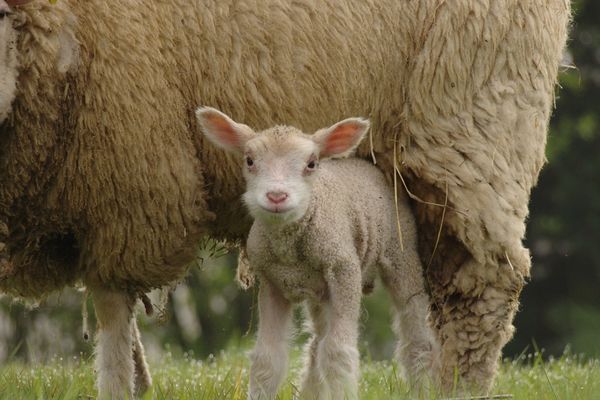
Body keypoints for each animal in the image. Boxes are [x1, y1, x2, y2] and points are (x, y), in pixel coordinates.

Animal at [199, 108, 438, 398]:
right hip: (320, 291)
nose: (276, 196)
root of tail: (369, 165)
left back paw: (423, 387)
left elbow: (337, 353)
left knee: (415, 329)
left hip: (400, 252)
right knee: (316, 345)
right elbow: (267, 359)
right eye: (249, 160)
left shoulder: (344, 269)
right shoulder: (271, 282)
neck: (290, 252)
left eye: (311, 164)